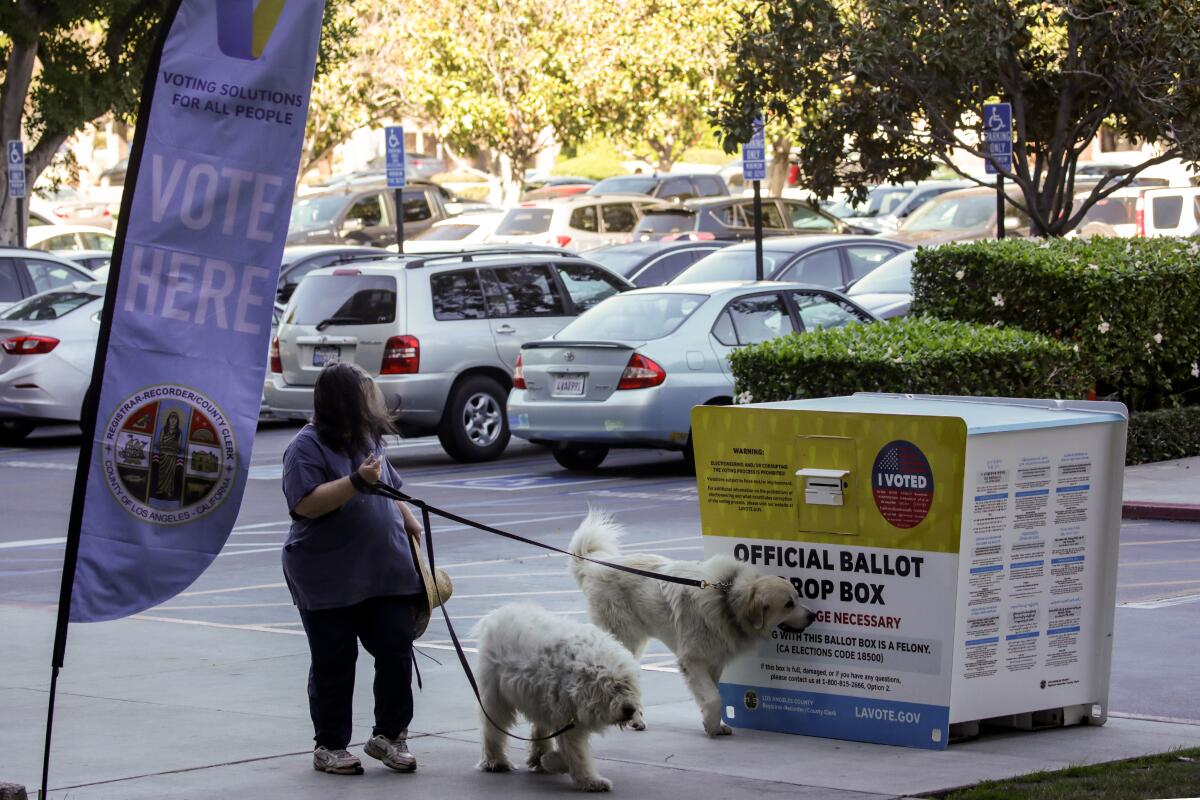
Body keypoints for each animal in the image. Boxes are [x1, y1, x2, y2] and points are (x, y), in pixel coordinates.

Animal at [470, 604, 648, 791]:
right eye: (613, 687)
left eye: (629, 686)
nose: (630, 709)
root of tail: (499, 613)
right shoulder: (566, 716)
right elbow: (575, 752)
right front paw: (590, 780)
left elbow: (571, 751)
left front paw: (548, 760)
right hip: (496, 693)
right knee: (493, 726)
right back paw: (496, 761)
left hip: (538, 698)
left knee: (538, 726)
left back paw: (538, 756)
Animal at [568, 513, 816, 738]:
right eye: (788, 604)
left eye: (797, 597)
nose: (813, 615)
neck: (728, 601)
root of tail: (593, 568)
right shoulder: (693, 660)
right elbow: (714, 698)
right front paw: (713, 728)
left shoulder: (714, 660)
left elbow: (712, 693)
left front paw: (712, 723)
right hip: (624, 638)